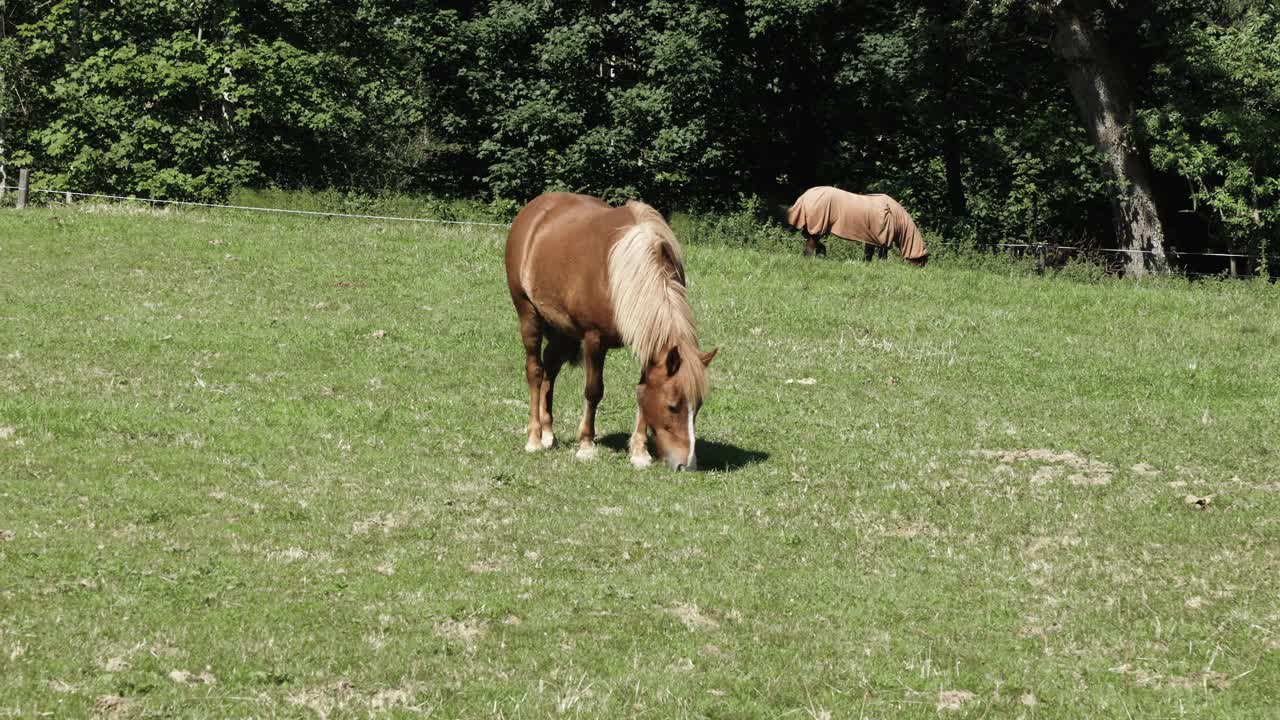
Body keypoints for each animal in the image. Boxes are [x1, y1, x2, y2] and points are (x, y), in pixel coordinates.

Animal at [501, 192, 721, 471]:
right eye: (672, 407)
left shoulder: (648, 343)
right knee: (535, 371)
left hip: (563, 329)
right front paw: (586, 446)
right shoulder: (594, 338)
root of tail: (535, 208)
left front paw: (639, 452)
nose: (686, 464)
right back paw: (535, 438)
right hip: (528, 314)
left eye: (699, 406)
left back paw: (549, 433)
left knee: (550, 368)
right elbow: (593, 390)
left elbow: (642, 391)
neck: (628, 271)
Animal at [778, 184, 931, 266]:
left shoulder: (871, 238)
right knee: (809, 246)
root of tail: (804, 197)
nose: (920, 270)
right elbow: (882, 256)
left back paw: (822, 254)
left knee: (813, 242)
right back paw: (811, 259)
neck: (896, 217)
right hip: (817, 226)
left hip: (814, 227)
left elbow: (868, 254)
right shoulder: (883, 239)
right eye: (923, 261)